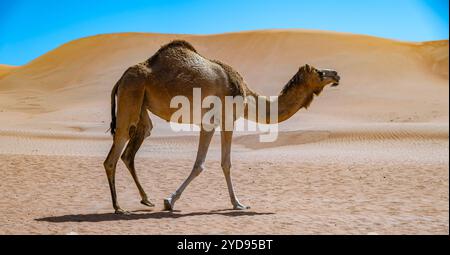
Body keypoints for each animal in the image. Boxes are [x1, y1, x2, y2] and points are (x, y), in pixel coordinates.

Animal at [103, 39, 340, 213]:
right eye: (320, 73)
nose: (336, 74)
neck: (248, 98)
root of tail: (121, 77)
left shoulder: (213, 122)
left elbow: (215, 163)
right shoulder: (221, 120)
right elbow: (214, 164)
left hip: (140, 107)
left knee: (131, 149)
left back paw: (145, 199)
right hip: (131, 93)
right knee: (113, 154)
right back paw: (118, 207)